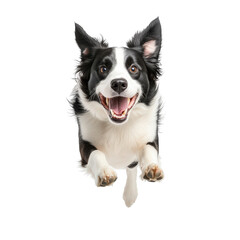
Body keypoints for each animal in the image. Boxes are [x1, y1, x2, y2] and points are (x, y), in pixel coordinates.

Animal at [71, 17, 164, 207]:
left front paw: (152, 167)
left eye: (134, 69)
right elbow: (96, 153)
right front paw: (105, 172)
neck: (118, 125)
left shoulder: (151, 138)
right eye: (103, 69)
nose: (119, 83)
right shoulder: (84, 145)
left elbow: (148, 149)